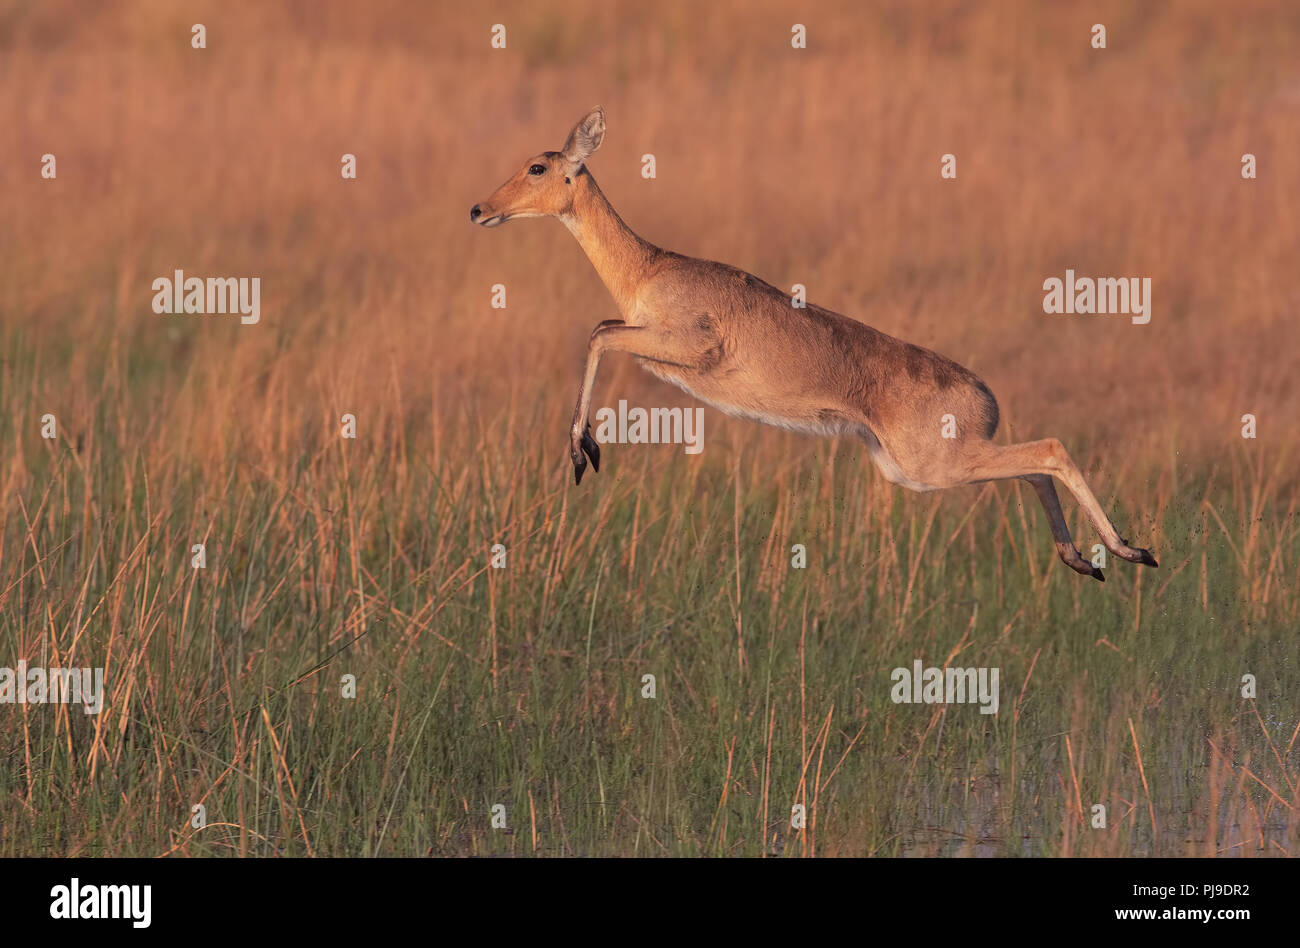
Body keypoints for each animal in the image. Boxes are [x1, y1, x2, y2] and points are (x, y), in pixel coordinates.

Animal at [470, 103, 1159, 577]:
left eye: (537, 166)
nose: (478, 209)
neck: (648, 268)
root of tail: (985, 395)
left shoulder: (688, 349)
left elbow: (599, 334)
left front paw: (582, 451)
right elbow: (600, 330)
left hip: (934, 464)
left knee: (1050, 449)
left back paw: (1132, 551)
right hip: (912, 470)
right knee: (1036, 466)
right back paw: (1084, 561)